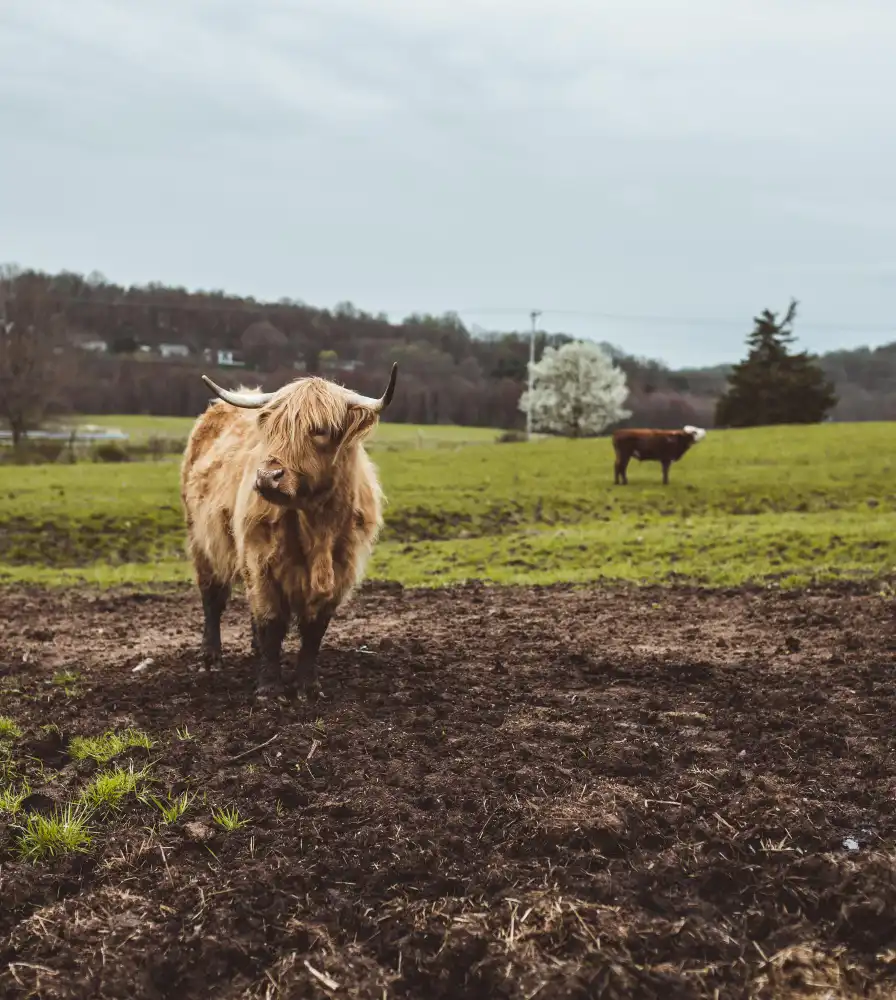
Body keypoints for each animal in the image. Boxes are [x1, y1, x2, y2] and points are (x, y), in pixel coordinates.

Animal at [180, 364, 398, 700]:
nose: (268, 477)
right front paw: (270, 688)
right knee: (213, 598)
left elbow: (314, 631)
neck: (317, 526)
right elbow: (271, 622)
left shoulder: (342, 570)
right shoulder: (260, 562)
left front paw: (307, 686)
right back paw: (211, 657)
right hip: (202, 541)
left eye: (320, 430)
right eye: (273, 428)